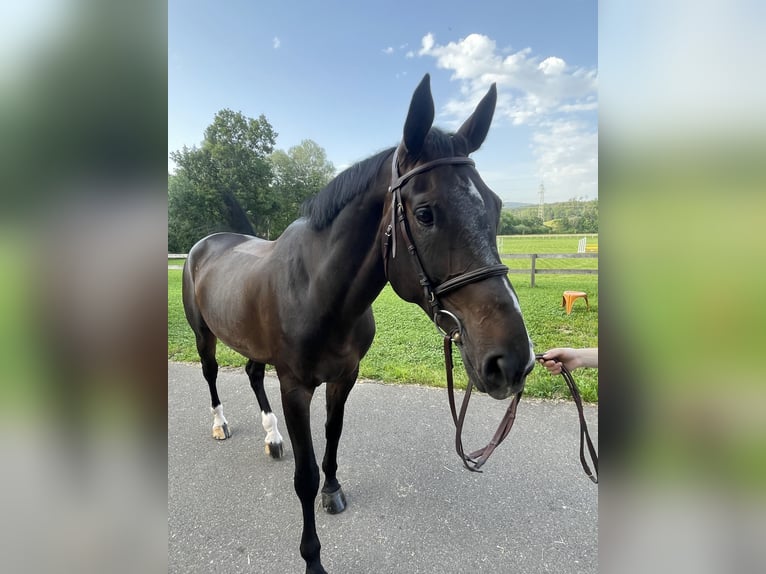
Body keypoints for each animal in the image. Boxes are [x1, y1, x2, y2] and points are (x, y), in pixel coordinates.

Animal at [183, 75, 536, 574]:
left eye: (497, 205)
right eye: (425, 212)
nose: (512, 361)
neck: (318, 291)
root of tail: (205, 243)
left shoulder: (344, 377)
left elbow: (333, 437)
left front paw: (333, 490)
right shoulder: (295, 387)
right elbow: (304, 476)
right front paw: (313, 559)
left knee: (252, 374)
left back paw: (272, 437)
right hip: (204, 336)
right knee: (212, 375)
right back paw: (221, 424)